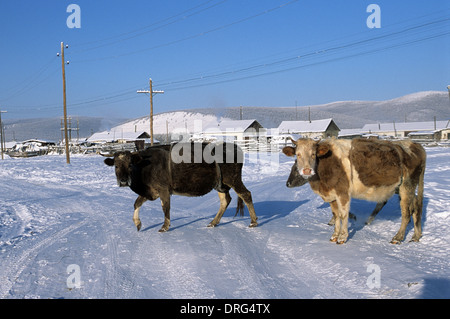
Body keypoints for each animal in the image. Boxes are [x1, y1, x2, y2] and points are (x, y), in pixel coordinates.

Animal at [103, 143, 256, 232]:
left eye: (130, 164)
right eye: (116, 166)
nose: (123, 181)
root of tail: (233, 145)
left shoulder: (163, 189)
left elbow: (165, 207)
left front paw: (164, 227)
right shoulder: (151, 191)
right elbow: (136, 203)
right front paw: (137, 223)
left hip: (234, 179)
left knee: (246, 194)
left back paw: (253, 222)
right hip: (220, 184)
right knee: (225, 200)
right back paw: (213, 222)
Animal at [284, 138, 428, 245]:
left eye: (313, 154)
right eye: (298, 154)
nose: (307, 170)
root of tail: (415, 144)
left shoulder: (343, 192)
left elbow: (343, 215)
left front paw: (342, 237)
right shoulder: (332, 195)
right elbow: (336, 214)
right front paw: (334, 235)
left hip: (407, 185)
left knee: (406, 212)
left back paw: (398, 237)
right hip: (402, 187)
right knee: (416, 206)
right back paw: (416, 236)